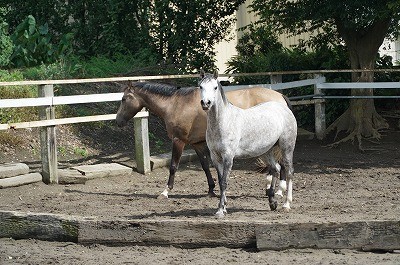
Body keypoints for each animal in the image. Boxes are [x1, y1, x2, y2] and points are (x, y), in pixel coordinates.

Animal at [116, 81, 290, 197]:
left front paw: (165, 191)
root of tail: (280, 96)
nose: (118, 121)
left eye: (124, 99)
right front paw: (211, 189)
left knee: (281, 164)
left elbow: (173, 166)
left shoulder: (178, 141)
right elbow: (205, 166)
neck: (176, 104)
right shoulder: (197, 144)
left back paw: (278, 191)